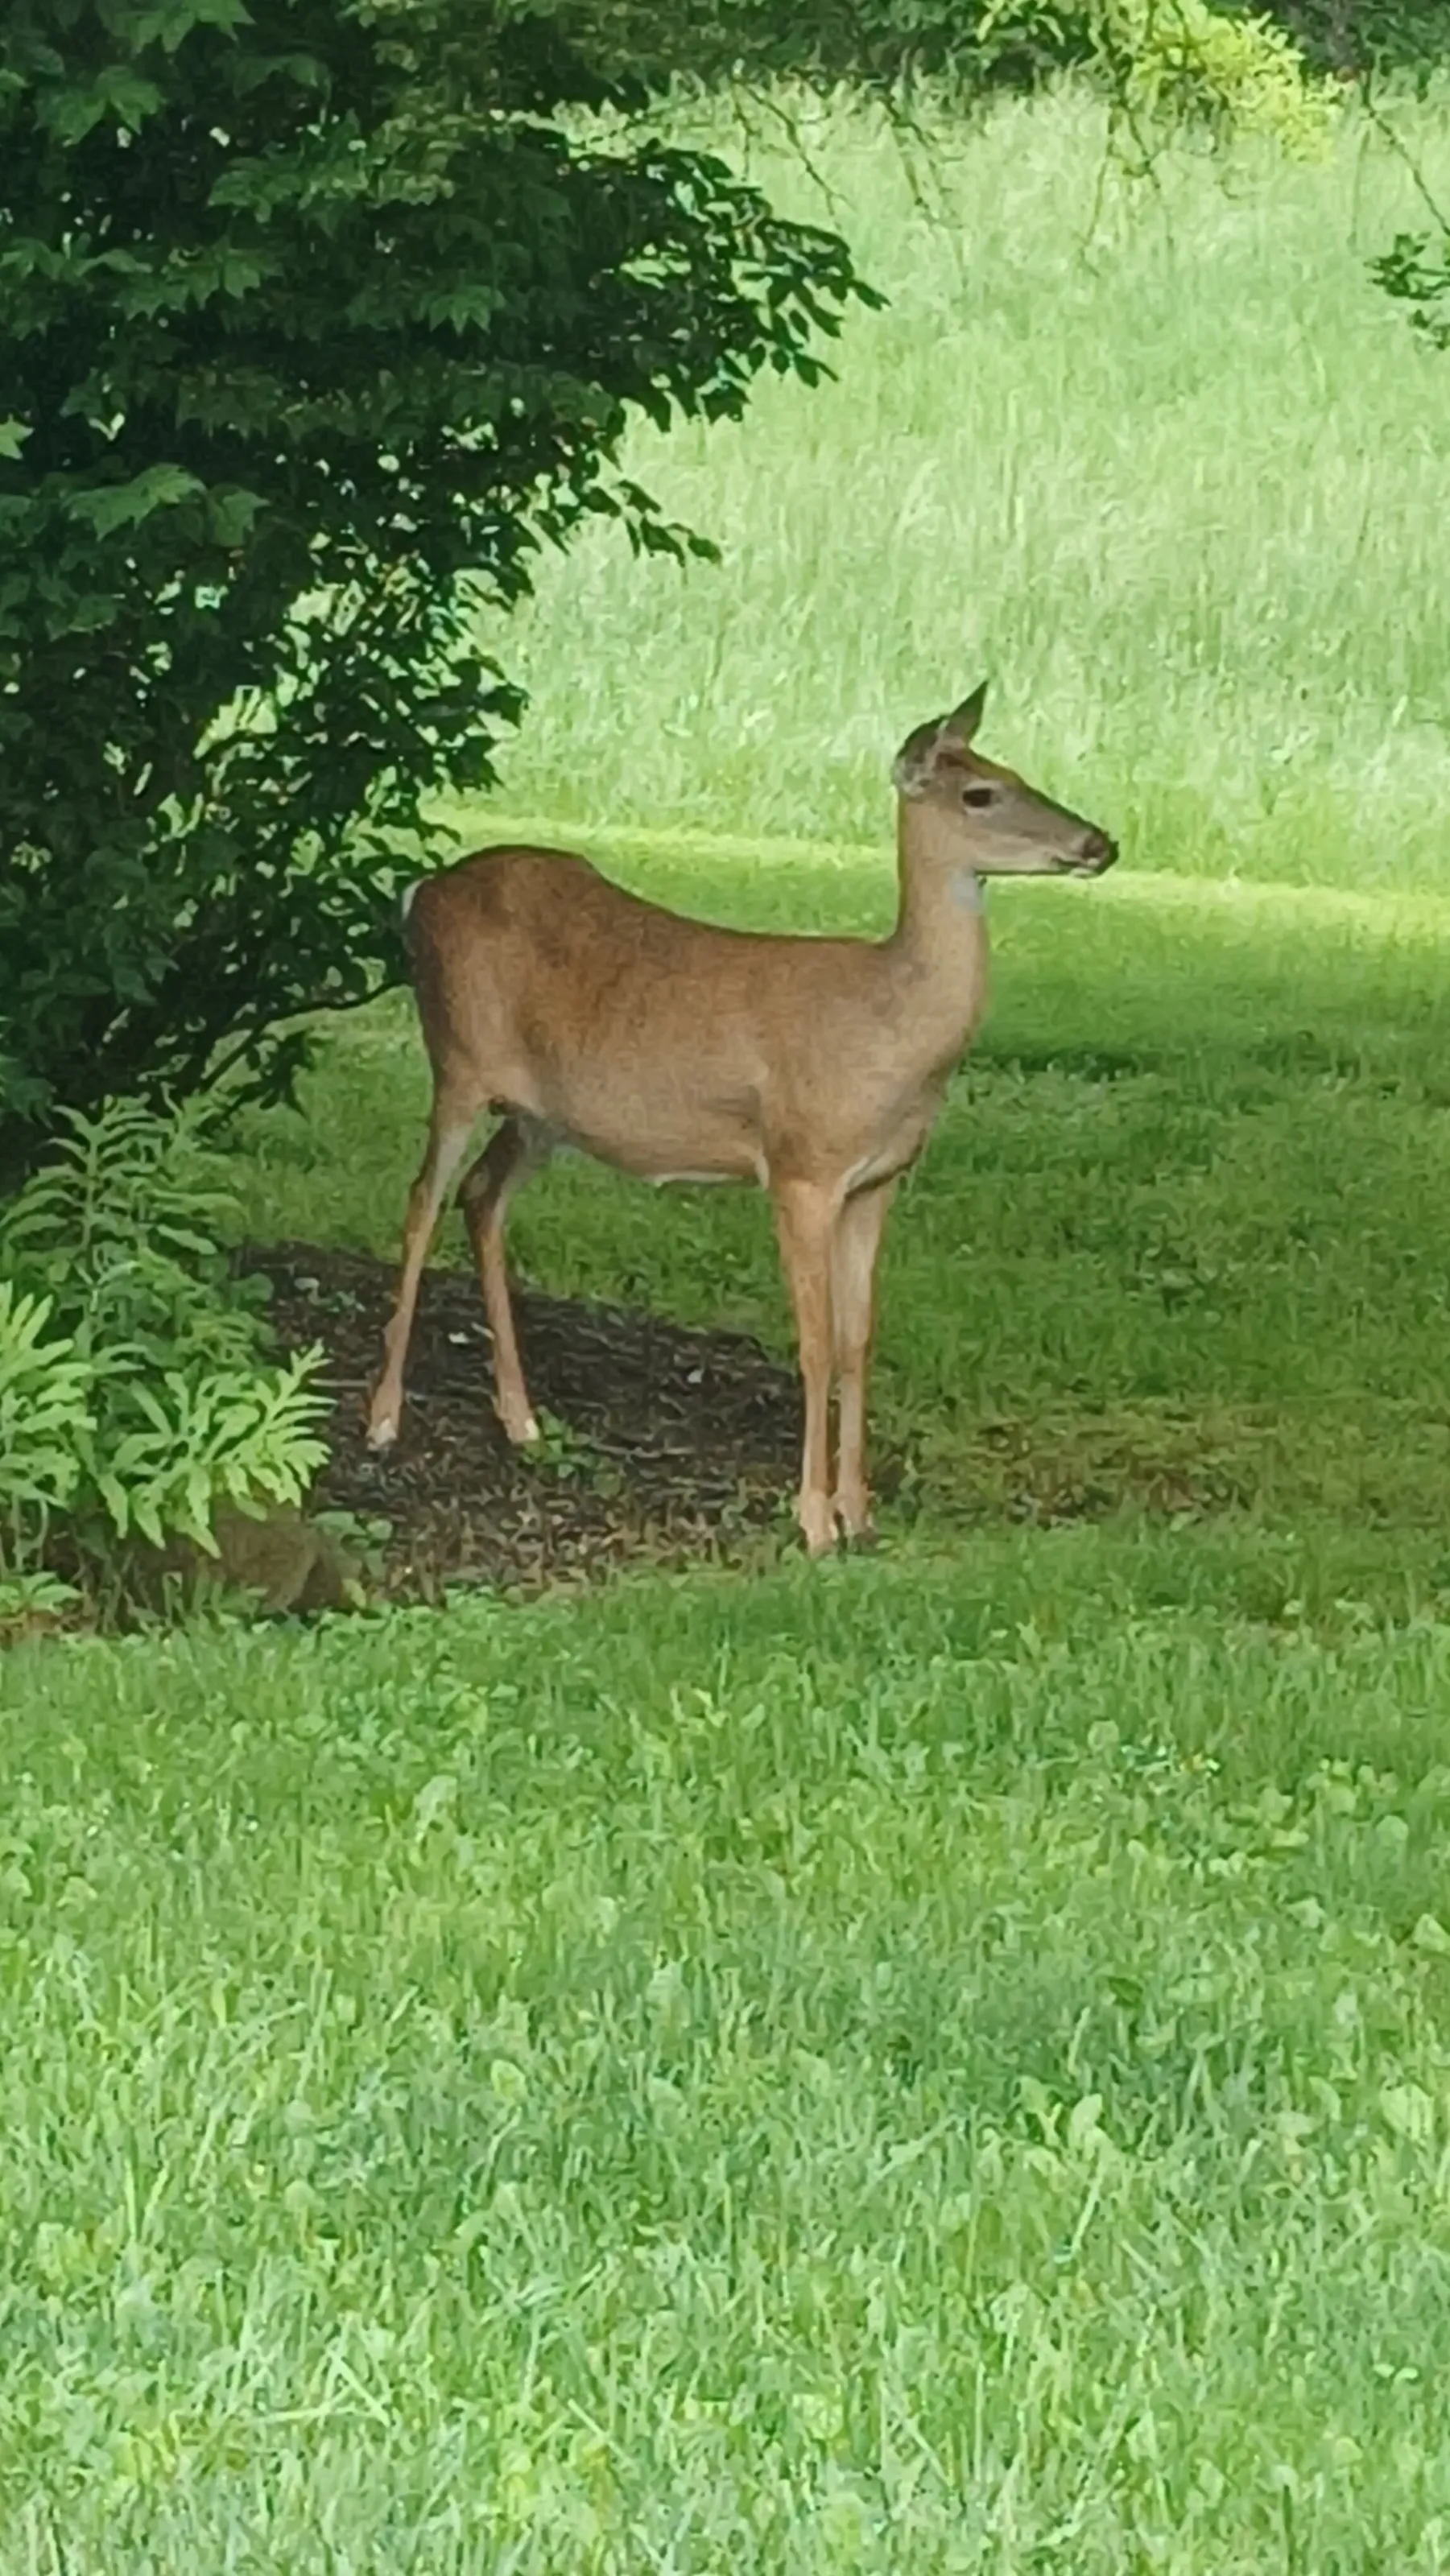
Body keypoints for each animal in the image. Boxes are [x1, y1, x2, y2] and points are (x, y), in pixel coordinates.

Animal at [365, 683, 1117, 1555]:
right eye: (981, 794)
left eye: (1017, 773)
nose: (1101, 841)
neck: (887, 1033)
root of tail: (420, 893)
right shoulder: (800, 1167)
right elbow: (816, 1344)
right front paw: (815, 1520)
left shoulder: (878, 1182)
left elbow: (859, 1340)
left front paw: (860, 1512)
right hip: (456, 1059)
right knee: (420, 1201)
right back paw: (382, 1419)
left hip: (541, 1114)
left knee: (481, 1196)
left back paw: (522, 1419)